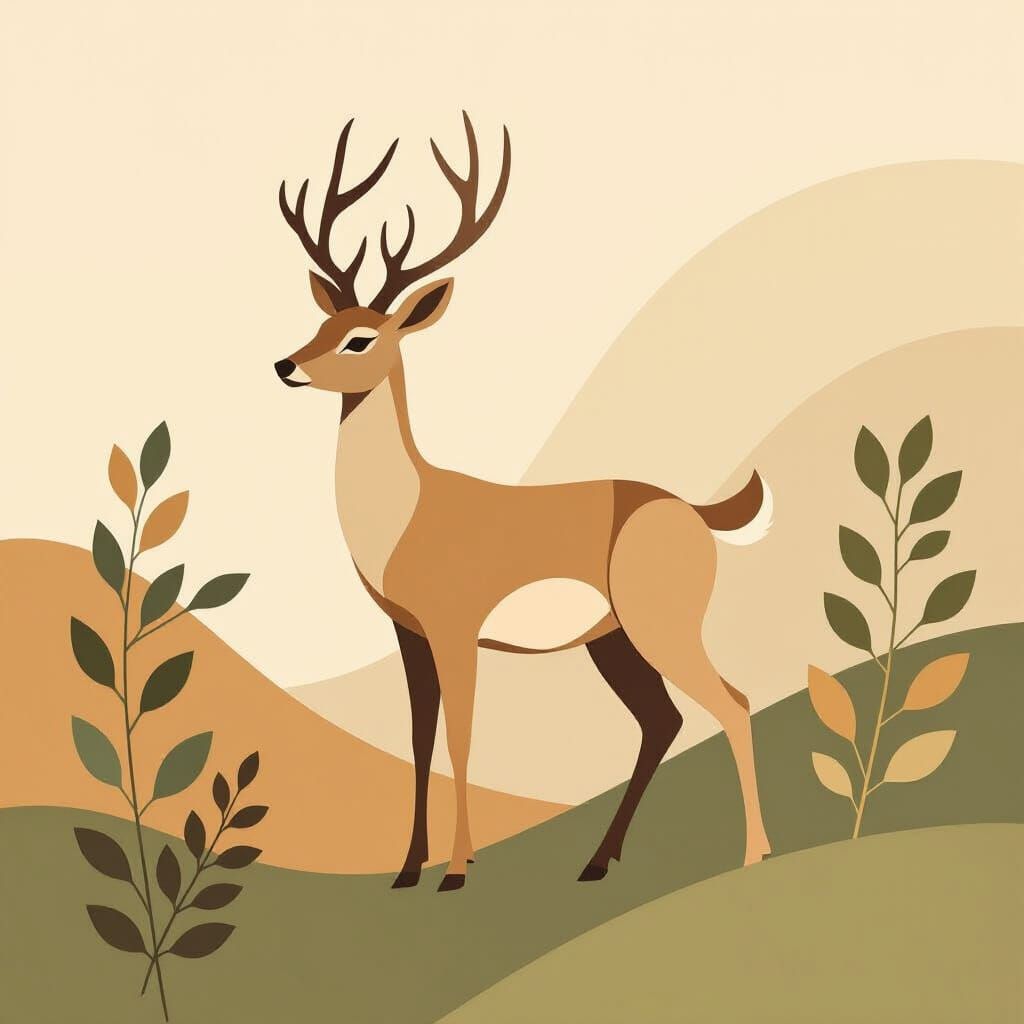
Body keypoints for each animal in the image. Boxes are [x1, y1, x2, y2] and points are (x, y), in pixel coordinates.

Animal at [275, 114, 773, 892]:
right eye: (323, 323)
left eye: (360, 337)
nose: (285, 364)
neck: (409, 512)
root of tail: (693, 510)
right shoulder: (409, 633)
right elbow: (420, 738)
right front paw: (408, 870)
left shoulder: (455, 629)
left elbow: (462, 735)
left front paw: (455, 870)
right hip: (611, 638)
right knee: (662, 720)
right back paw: (595, 863)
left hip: (660, 625)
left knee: (734, 701)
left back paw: (753, 856)